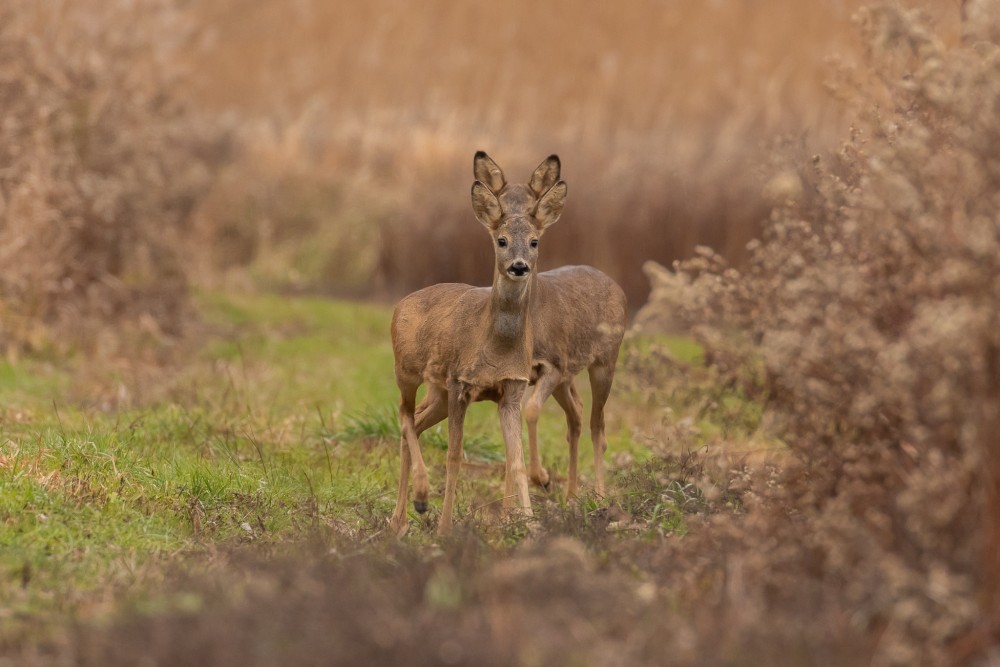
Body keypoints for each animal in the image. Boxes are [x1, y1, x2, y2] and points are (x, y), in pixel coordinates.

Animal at [388, 151, 568, 536]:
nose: (519, 266)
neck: (496, 347)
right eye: (501, 240)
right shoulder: (461, 382)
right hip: (406, 371)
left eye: (534, 241)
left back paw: (401, 518)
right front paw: (444, 529)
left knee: (415, 421)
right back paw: (417, 502)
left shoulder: (511, 389)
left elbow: (514, 461)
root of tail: (401, 303)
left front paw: (529, 527)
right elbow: (455, 456)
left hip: (437, 391)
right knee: (404, 415)